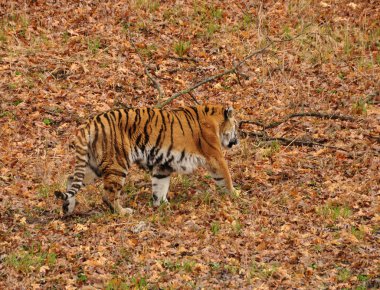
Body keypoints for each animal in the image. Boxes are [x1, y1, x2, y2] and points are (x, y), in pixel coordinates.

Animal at [54, 104, 238, 215]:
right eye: (236, 126)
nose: (236, 141)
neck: (216, 121)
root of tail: (90, 123)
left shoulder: (162, 165)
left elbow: (160, 186)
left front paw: (162, 204)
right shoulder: (215, 156)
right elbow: (226, 176)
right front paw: (235, 194)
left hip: (93, 166)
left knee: (71, 179)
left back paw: (67, 208)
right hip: (117, 164)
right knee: (108, 195)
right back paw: (123, 212)